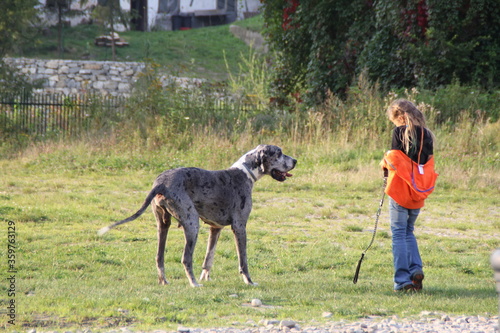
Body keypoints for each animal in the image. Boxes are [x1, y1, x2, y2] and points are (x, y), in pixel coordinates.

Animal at [99, 144, 298, 286]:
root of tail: (161, 182)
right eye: (279, 153)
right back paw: (194, 284)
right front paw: (249, 282)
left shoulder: (215, 228)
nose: (295, 161)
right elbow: (243, 261)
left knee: (159, 257)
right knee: (186, 258)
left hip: (163, 226)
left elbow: (209, 258)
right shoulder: (240, 227)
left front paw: (206, 277)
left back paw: (165, 281)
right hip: (192, 224)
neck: (245, 173)